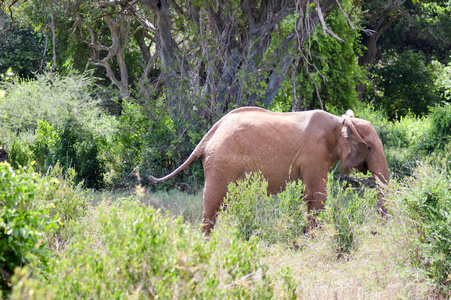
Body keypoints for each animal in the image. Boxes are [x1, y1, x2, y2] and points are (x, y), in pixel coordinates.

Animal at [150, 106, 390, 236]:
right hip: (221, 161)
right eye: (369, 148)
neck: (339, 122)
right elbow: (316, 194)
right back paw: (207, 241)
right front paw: (315, 237)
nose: (376, 230)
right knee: (214, 201)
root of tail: (208, 136)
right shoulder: (314, 155)